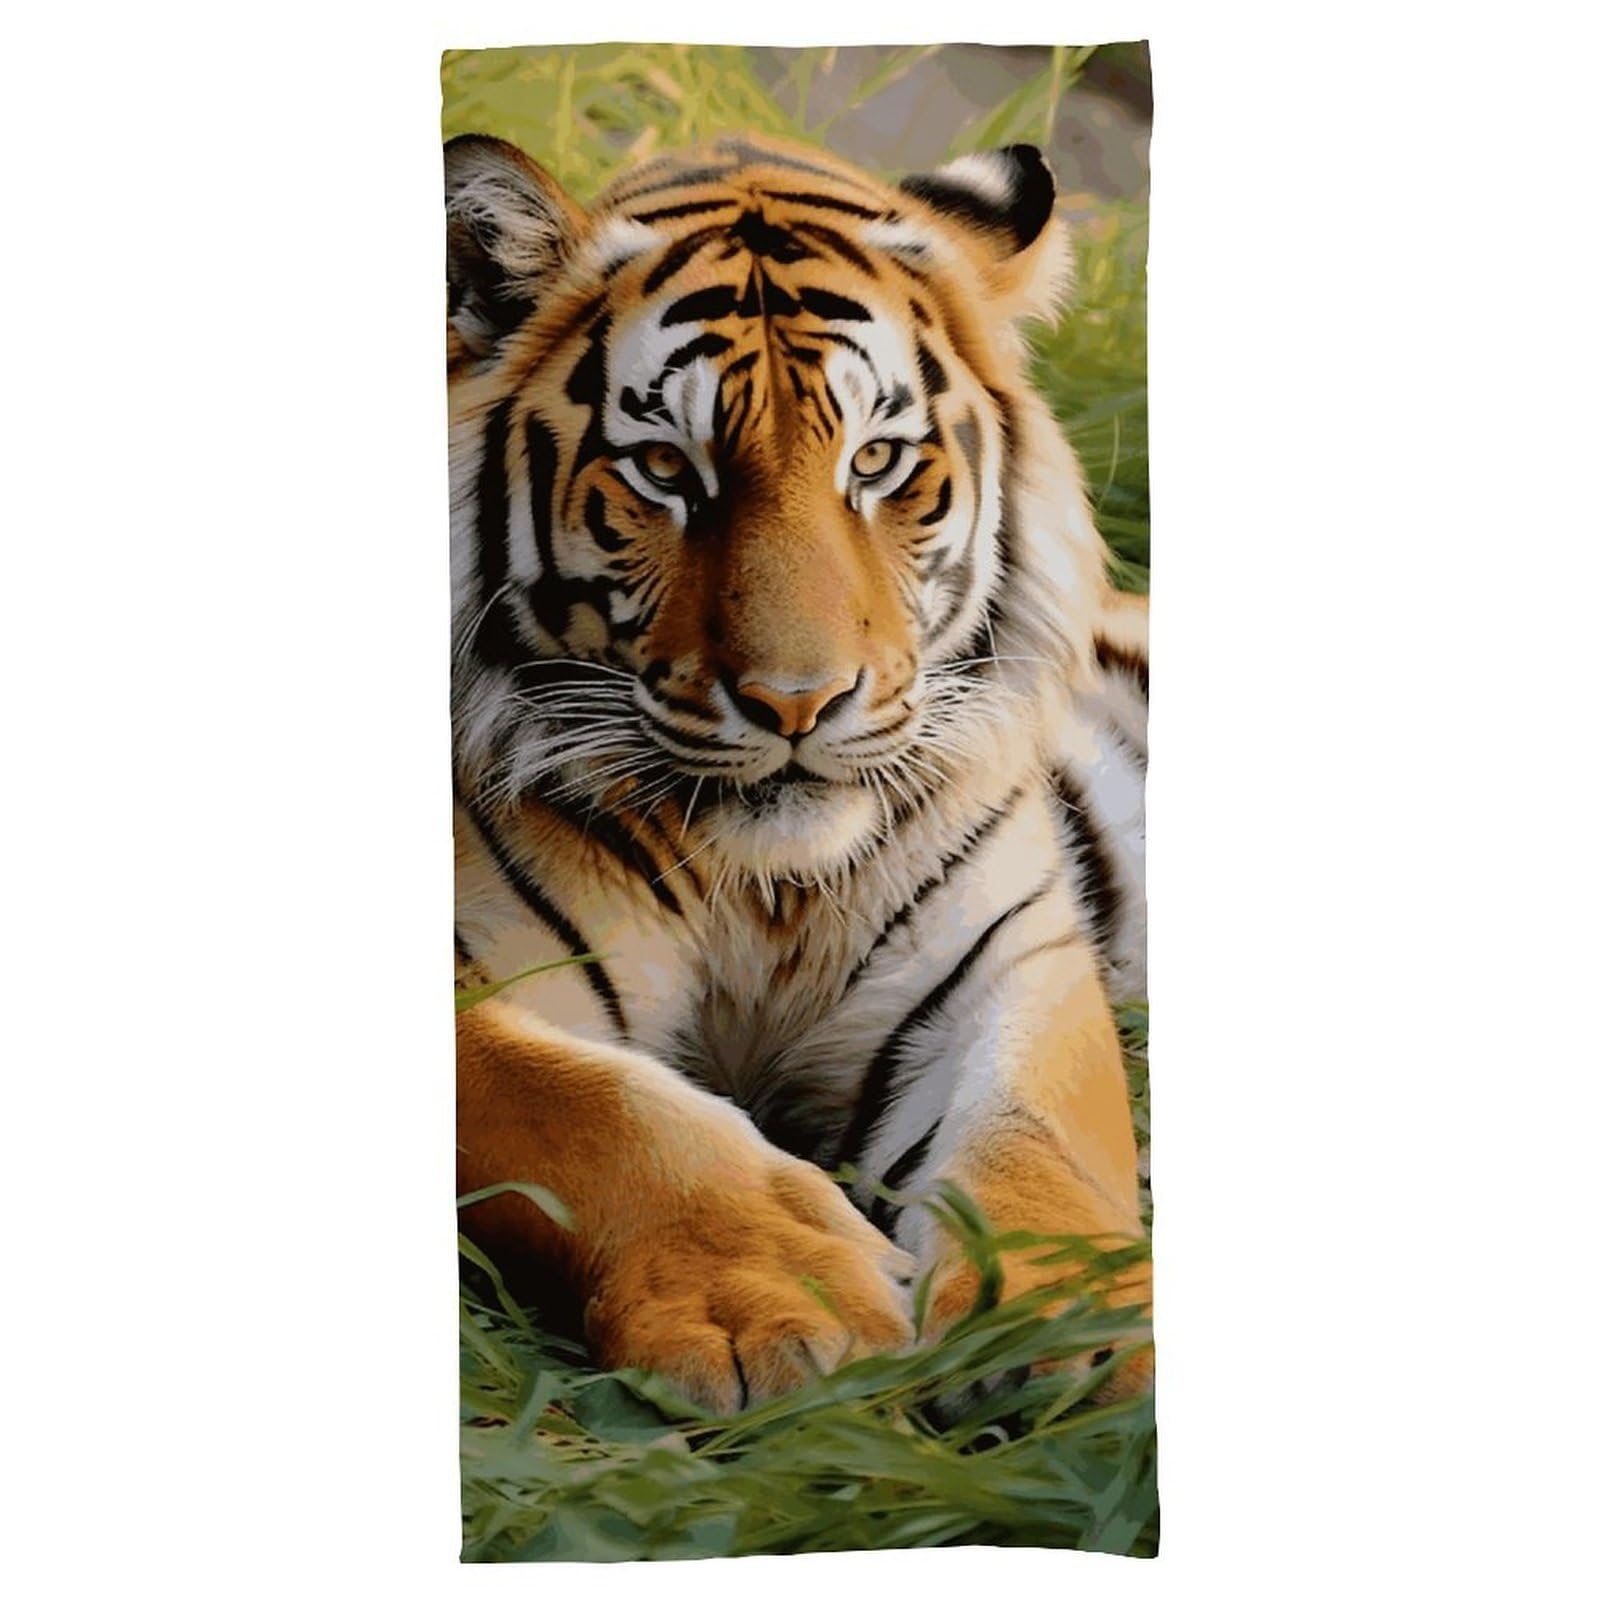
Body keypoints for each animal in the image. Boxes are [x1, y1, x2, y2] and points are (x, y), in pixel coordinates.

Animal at [446, 130, 1151, 1413]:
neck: (764, 888)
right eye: (665, 468)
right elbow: (585, 1109)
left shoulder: (1009, 959)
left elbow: (1035, 1130)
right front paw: (781, 1308)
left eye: (875, 460)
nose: (796, 703)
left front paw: (1073, 1326)